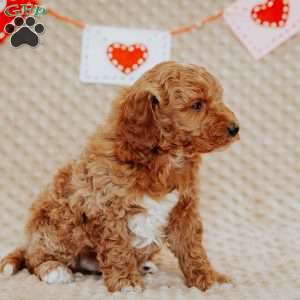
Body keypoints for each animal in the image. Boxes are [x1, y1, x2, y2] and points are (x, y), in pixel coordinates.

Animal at [0, 61, 239, 292]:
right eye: (197, 105)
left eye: (219, 99)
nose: (235, 128)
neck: (165, 157)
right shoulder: (108, 210)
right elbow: (118, 248)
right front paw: (126, 281)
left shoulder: (184, 209)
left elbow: (193, 249)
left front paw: (209, 278)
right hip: (57, 224)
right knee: (35, 257)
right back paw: (53, 269)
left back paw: (144, 265)